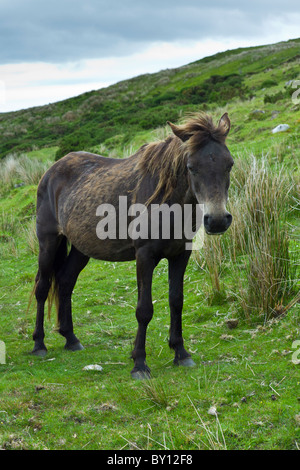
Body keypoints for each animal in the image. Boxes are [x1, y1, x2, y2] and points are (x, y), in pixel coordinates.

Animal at [32, 112, 234, 380]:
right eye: (192, 167)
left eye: (229, 164)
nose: (218, 220)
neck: (166, 200)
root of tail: (50, 172)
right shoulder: (145, 256)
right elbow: (144, 309)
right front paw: (139, 363)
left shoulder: (180, 255)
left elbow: (176, 301)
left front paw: (181, 353)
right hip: (48, 243)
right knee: (43, 288)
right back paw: (39, 344)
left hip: (80, 249)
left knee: (65, 282)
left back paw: (71, 339)